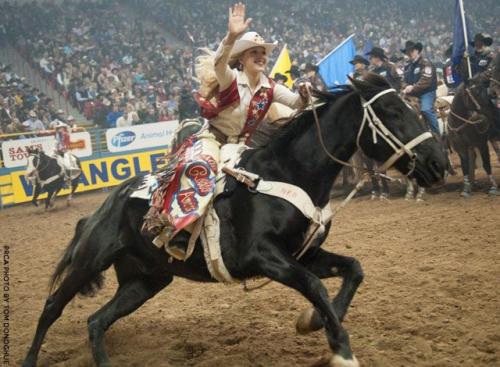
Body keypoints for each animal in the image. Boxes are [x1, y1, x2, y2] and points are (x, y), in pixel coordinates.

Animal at [22, 73, 446, 366]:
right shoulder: (261, 256)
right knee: (52, 308)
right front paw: (340, 349)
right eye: (393, 112)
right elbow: (315, 286)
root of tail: (103, 207)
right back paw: (29, 357)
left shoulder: (305, 253)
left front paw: (313, 321)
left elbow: (352, 270)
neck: (287, 171)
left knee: (96, 321)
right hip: (89, 262)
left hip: (145, 281)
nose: (438, 164)